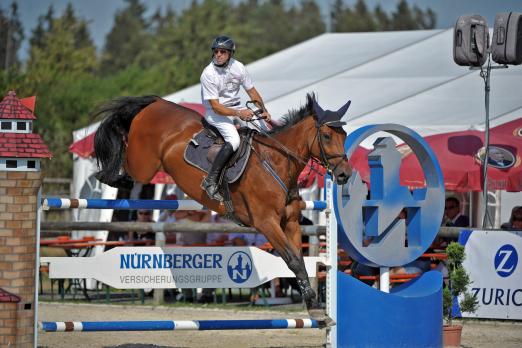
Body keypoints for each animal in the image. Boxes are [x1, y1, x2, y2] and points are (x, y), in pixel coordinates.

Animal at [93, 93, 352, 326]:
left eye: (345, 135)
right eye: (326, 136)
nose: (344, 175)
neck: (276, 162)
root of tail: (157, 102)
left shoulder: (290, 223)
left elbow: (299, 261)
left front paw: (315, 309)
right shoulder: (267, 223)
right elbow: (293, 261)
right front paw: (316, 309)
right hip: (145, 165)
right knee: (126, 159)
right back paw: (109, 175)